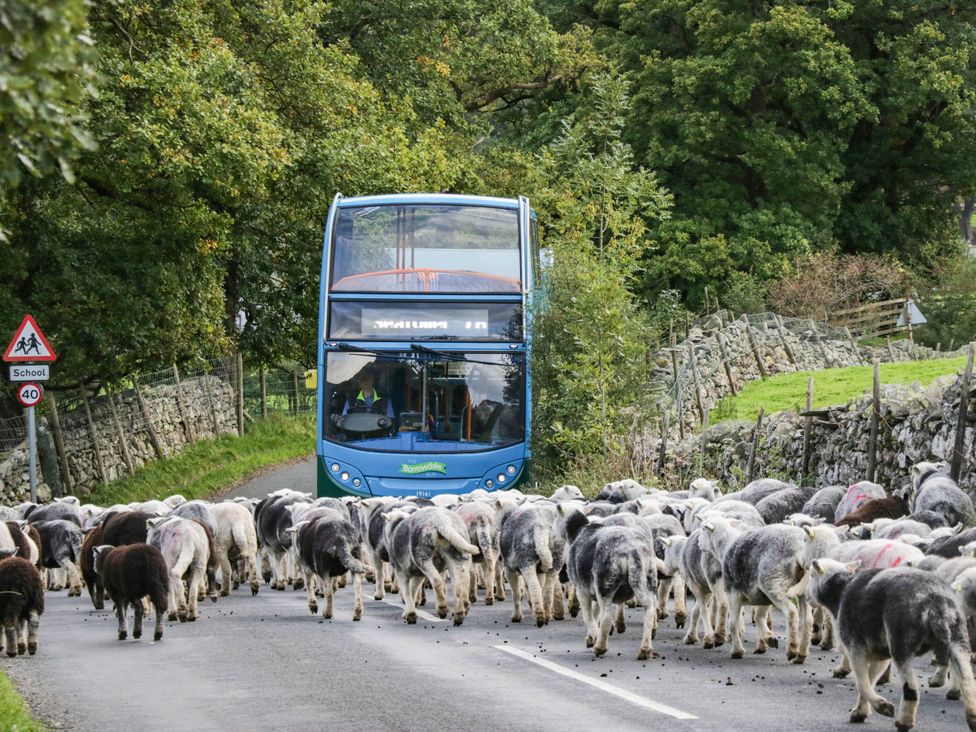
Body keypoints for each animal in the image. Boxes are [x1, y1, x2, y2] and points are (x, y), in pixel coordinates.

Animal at [809, 560, 976, 731]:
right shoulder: (880, 654)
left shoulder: (855, 647)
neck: (841, 591)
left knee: (911, 689)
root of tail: (936, 604)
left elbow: (862, 683)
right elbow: (869, 681)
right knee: (968, 682)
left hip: (901, 642)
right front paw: (860, 712)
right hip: (959, 640)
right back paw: (972, 718)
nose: (808, 599)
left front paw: (882, 707)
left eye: (811, 575)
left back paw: (904, 722)